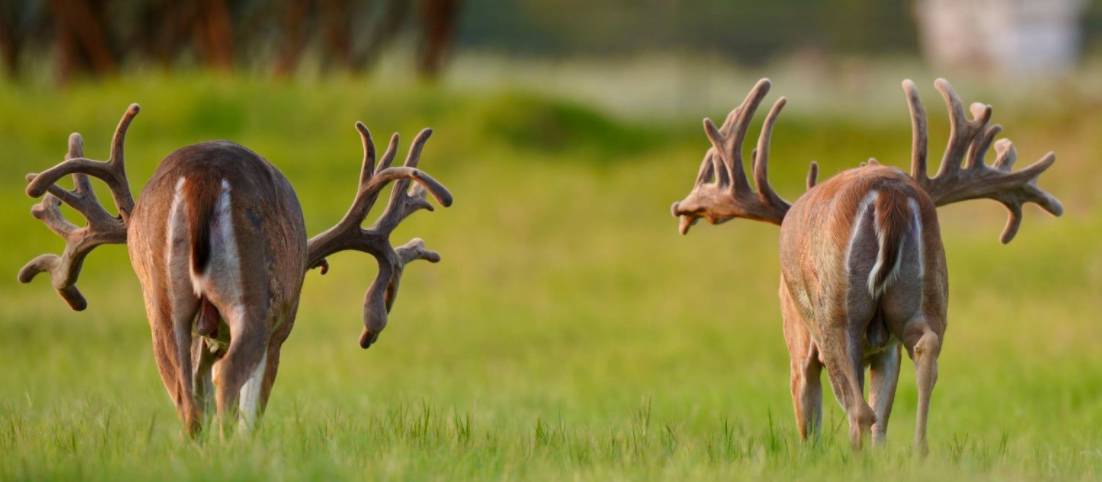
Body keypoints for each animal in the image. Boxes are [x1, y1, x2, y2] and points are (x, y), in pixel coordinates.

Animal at [18, 104, 453, 436]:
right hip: (253, 294)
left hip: (161, 297)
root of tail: (201, 177)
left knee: (185, 394)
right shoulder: (280, 329)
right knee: (227, 378)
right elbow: (253, 404)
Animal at [670, 78, 1062, 453]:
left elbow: (809, 413)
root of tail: (888, 192)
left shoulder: (798, 336)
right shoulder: (885, 349)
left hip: (836, 312)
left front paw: (812, 456)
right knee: (925, 348)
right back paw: (920, 450)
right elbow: (883, 412)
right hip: (927, 292)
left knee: (858, 407)